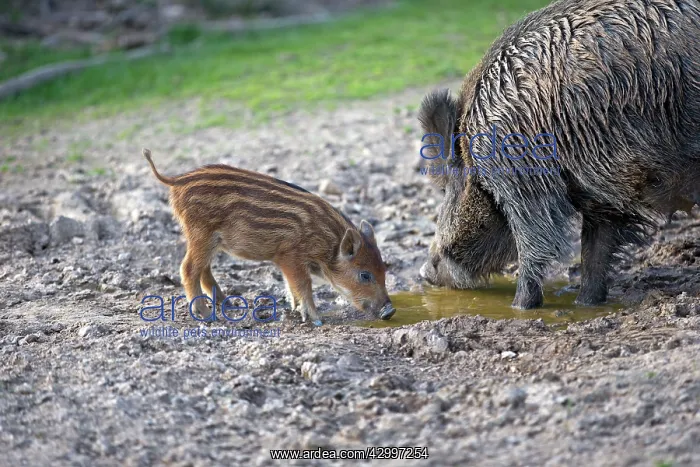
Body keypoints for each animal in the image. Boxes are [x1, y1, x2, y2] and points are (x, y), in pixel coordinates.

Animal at [142, 148, 395, 325]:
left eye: (384, 270)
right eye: (364, 275)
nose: (390, 311)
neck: (328, 245)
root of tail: (176, 179)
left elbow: (292, 286)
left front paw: (295, 310)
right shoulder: (290, 256)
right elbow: (304, 285)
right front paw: (316, 320)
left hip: (207, 240)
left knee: (204, 269)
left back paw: (227, 303)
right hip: (200, 234)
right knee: (188, 268)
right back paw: (206, 315)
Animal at [418, 0, 700, 309]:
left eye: (444, 189)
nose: (423, 272)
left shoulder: (522, 180)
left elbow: (535, 243)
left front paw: (519, 307)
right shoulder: (605, 193)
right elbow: (595, 250)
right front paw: (586, 304)